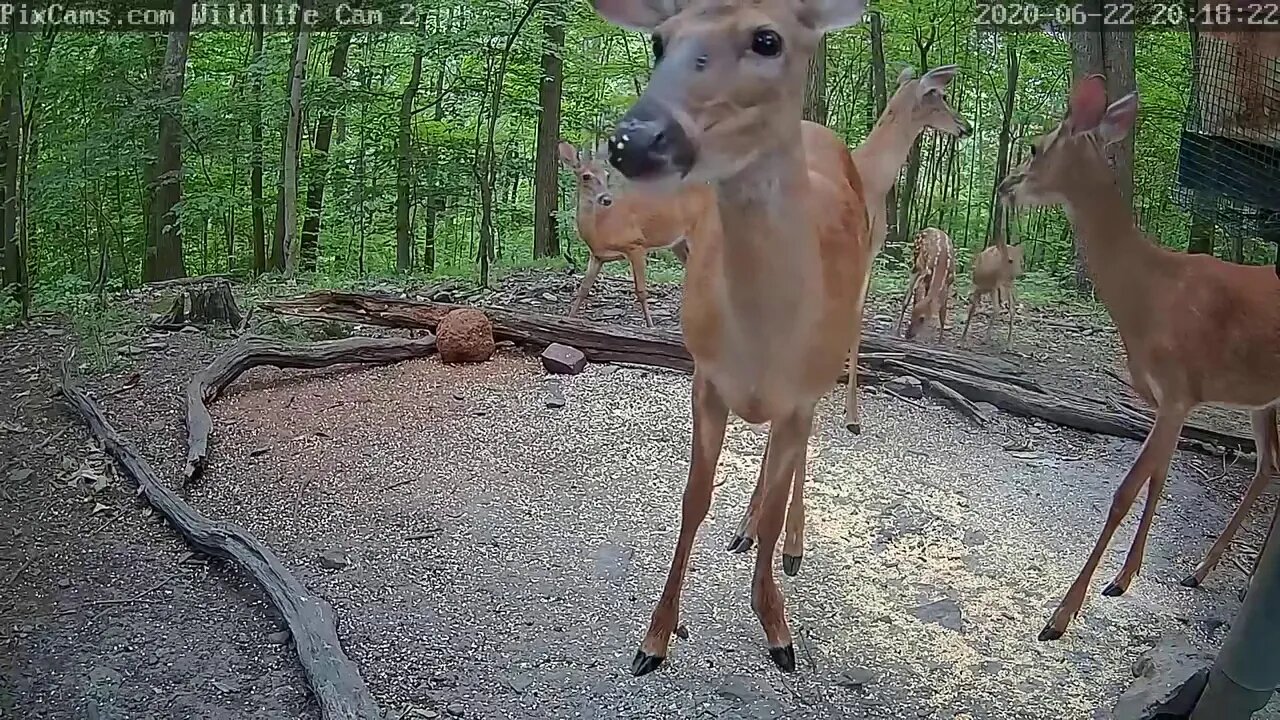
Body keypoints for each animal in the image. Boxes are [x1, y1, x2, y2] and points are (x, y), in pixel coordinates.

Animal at [557, 140, 715, 327]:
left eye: (606, 175)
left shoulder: (636, 245)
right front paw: (568, 319)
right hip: (679, 244)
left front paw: (650, 326)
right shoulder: (597, 256)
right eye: (586, 176)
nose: (606, 199)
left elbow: (641, 291)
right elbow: (583, 289)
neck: (601, 228)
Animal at [592, 0, 872, 675]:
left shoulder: (802, 391)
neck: (761, 339)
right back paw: (744, 529)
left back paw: (790, 544)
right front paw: (655, 638)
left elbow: (776, 488)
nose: (635, 138)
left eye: (767, 39)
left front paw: (776, 626)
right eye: (659, 41)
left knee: (794, 461)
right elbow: (693, 499)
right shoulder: (706, 374)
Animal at [997, 73, 1280, 642]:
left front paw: (1061, 615)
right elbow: (1158, 478)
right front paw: (1124, 578)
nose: (1005, 185)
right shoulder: (1171, 399)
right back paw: (1207, 571)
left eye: (1036, 146)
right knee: (1270, 464)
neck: (1150, 293)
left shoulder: (1178, 391)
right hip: (1265, 398)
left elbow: (1127, 489)